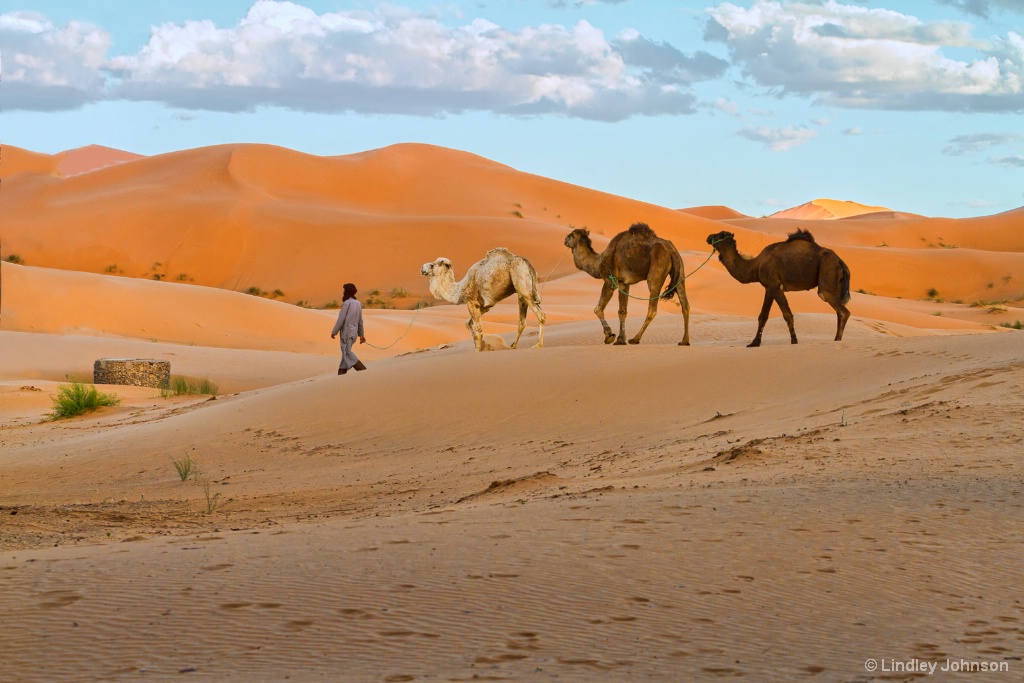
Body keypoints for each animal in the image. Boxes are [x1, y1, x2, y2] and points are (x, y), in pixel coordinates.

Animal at [708, 229, 851, 348]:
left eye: (720, 234)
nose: (708, 237)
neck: (755, 265)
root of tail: (840, 261)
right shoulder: (769, 288)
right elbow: (763, 316)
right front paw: (755, 343)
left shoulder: (775, 286)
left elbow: (787, 314)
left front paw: (794, 341)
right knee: (840, 312)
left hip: (827, 273)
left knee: (840, 309)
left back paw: (836, 340)